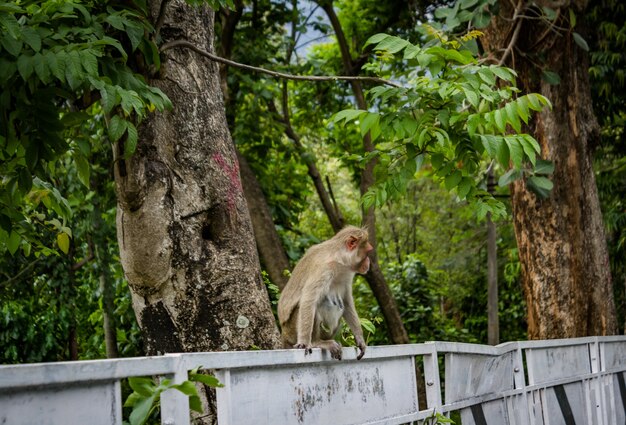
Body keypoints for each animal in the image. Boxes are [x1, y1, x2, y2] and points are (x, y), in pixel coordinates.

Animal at [276, 224, 370, 360]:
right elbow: (308, 300)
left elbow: (346, 301)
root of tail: (284, 334)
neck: (339, 260)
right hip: (291, 331)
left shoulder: (348, 273)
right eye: (368, 253)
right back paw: (316, 342)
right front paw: (304, 343)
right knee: (314, 307)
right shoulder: (324, 269)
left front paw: (360, 338)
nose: (369, 262)